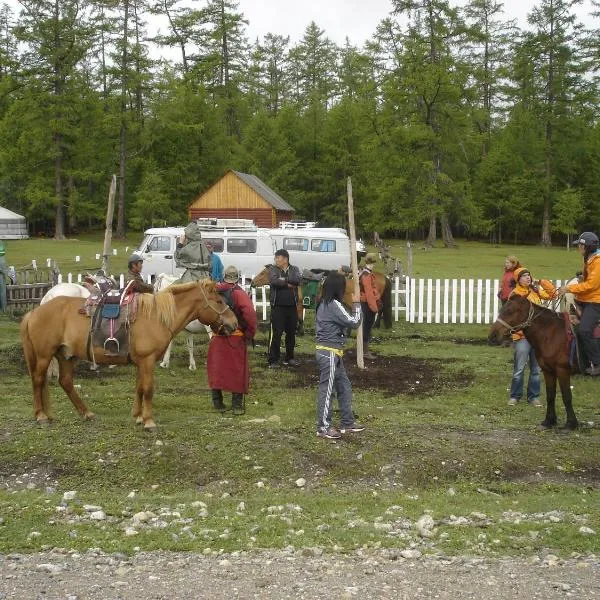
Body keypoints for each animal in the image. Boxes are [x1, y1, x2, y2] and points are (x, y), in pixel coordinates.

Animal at [21, 278, 237, 428]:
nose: (234, 323)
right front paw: (149, 421)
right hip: (44, 355)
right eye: (218, 301)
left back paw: (86, 413)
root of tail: (35, 312)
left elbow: (140, 387)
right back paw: (41, 415)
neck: (156, 317)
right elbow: (148, 388)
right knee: (38, 380)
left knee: (65, 382)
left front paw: (139, 416)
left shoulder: (142, 362)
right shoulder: (147, 360)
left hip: (65, 355)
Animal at [490, 296, 580, 432]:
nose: (493, 335)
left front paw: (571, 424)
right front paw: (549, 421)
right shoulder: (548, 371)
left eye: (510, 311)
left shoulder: (562, 370)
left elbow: (567, 396)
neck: (551, 334)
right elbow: (550, 396)